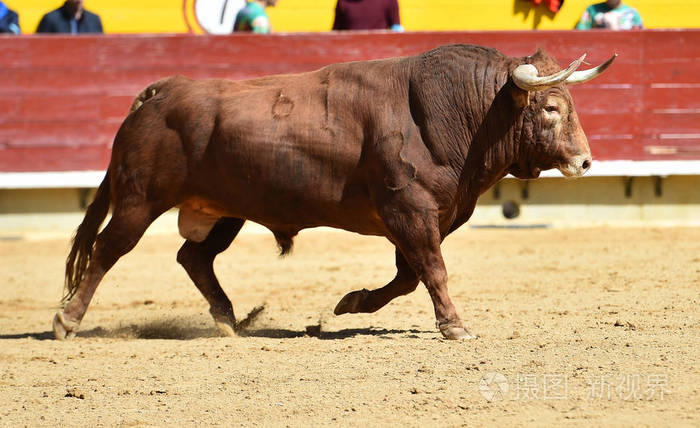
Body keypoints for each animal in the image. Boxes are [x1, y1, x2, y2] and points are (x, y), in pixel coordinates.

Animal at [53, 44, 612, 342]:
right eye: (551, 109)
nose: (586, 161)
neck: (452, 112)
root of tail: (162, 92)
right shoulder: (410, 211)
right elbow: (431, 271)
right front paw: (455, 327)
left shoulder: (420, 218)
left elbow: (407, 277)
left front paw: (351, 303)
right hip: (139, 200)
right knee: (108, 250)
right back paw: (67, 321)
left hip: (225, 211)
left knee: (193, 257)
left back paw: (230, 320)